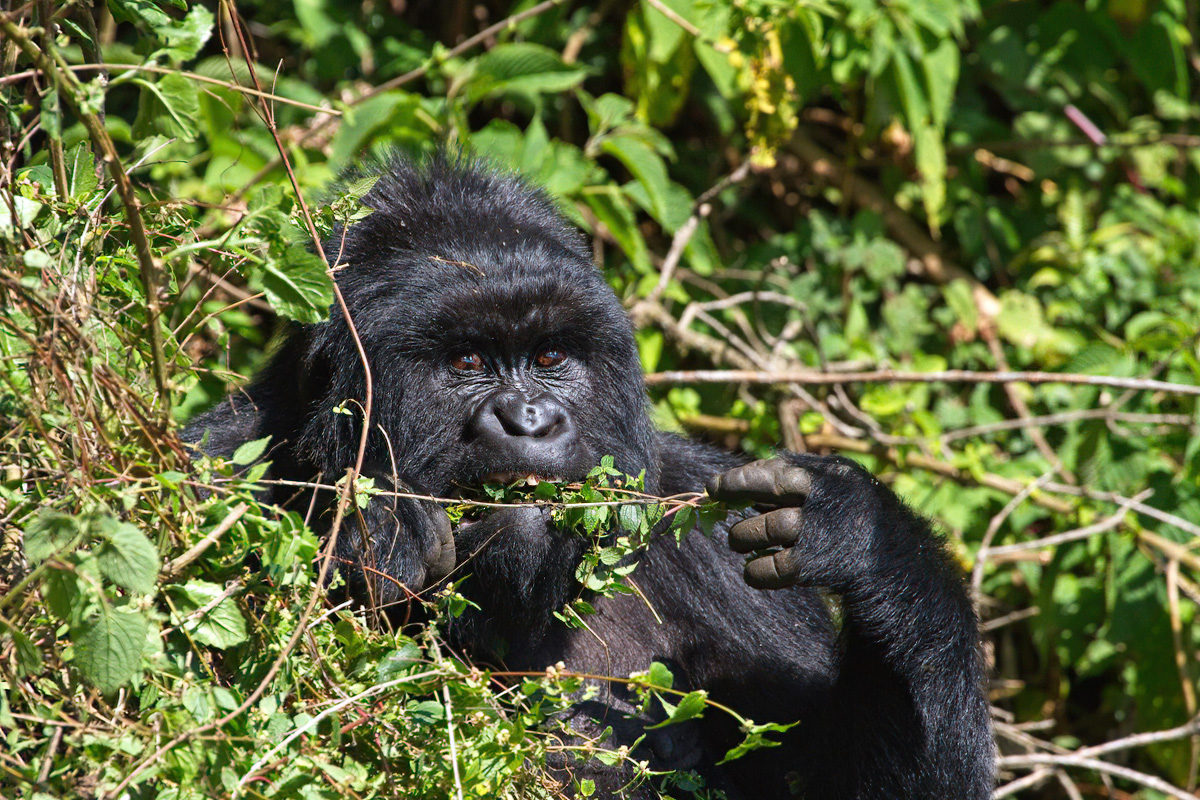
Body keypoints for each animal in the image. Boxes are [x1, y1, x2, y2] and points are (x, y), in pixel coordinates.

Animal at [184, 155, 993, 800]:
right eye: (467, 361)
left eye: (550, 357)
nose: (529, 419)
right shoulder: (209, 471)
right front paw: (370, 529)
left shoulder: (720, 540)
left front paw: (869, 540)